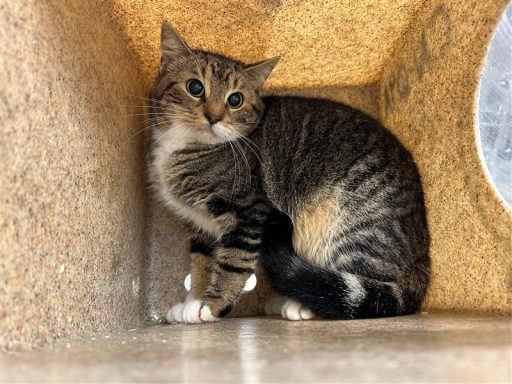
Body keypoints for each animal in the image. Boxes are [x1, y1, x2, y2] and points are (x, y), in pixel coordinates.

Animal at [147, 20, 428, 320]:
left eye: (235, 100)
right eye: (195, 87)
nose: (213, 117)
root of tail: (422, 257)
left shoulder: (249, 212)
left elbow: (232, 263)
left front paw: (211, 306)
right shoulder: (201, 228)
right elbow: (201, 263)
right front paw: (194, 298)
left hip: (351, 224)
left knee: (364, 292)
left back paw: (303, 304)